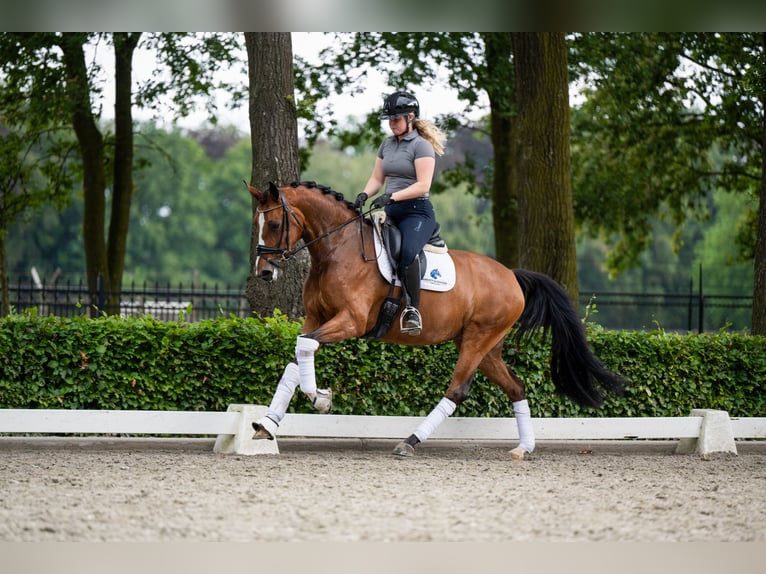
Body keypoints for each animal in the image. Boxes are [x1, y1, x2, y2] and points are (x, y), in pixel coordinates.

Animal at [249, 182, 628, 462]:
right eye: (257, 224)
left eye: (275, 224)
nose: (265, 273)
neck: (337, 250)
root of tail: (511, 276)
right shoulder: (317, 318)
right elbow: (297, 356)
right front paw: (267, 424)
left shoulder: (351, 321)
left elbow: (305, 347)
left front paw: (320, 399)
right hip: (486, 347)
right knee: (516, 388)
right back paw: (523, 448)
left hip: (477, 339)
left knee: (457, 390)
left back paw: (410, 441)